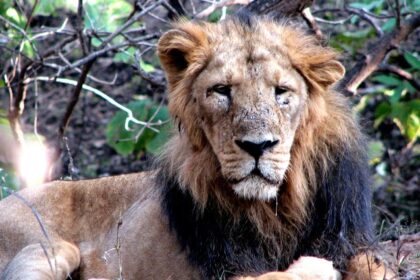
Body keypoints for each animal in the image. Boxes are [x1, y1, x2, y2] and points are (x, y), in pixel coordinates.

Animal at [0, 14, 394, 280]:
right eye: (221, 91)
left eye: (282, 92)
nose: (258, 146)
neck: (276, 207)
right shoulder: (229, 269)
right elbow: (280, 276)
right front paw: (315, 267)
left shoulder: (348, 239)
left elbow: (375, 266)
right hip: (53, 247)